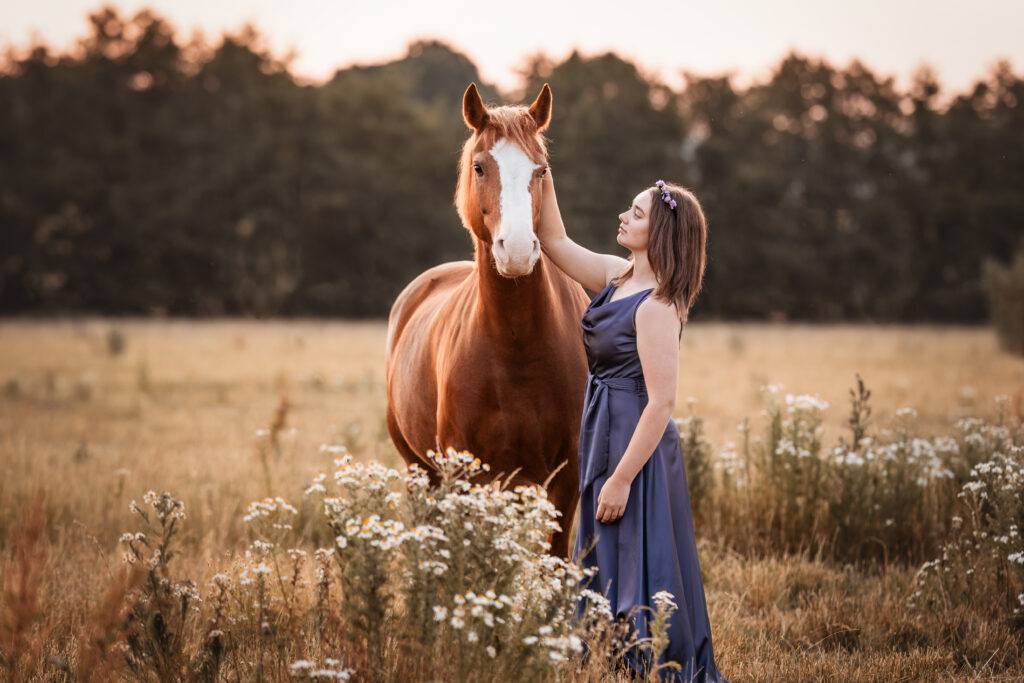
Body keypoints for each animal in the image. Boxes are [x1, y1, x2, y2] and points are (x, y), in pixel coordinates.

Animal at [385, 82, 593, 557]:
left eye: (541, 170)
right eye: (480, 167)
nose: (515, 250)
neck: (517, 347)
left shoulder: (566, 477)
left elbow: (555, 557)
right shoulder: (465, 473)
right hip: (419, 469)